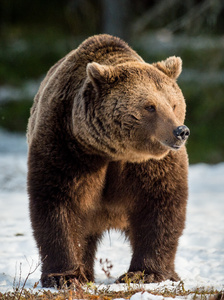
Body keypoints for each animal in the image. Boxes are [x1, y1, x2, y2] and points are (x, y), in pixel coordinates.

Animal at [27, 33, 190, 288]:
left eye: (173, 104)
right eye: (150, 106)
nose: (180, 131)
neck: (115, 152)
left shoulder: (151, 165)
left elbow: (160, 205)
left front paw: (146, 273)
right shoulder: (68, 147)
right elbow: (58, 203)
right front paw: (65, 276)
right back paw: (84, 273)